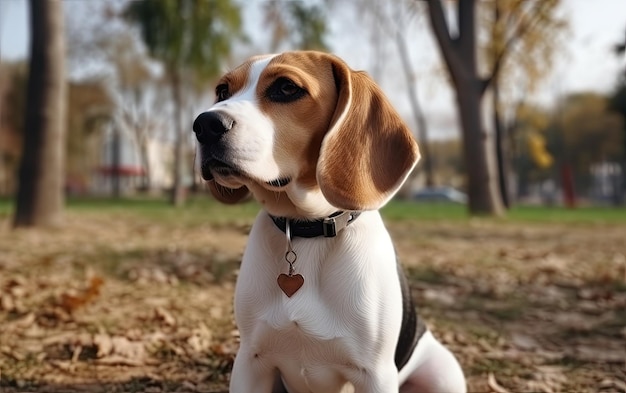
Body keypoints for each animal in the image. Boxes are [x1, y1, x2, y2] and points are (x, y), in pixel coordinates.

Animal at [193, 51, 466, 392]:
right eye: (222, 91)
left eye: (286, 88)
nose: (203, 125)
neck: (304, 229)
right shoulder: (250, 362)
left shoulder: (375, 374)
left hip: (442, 374)